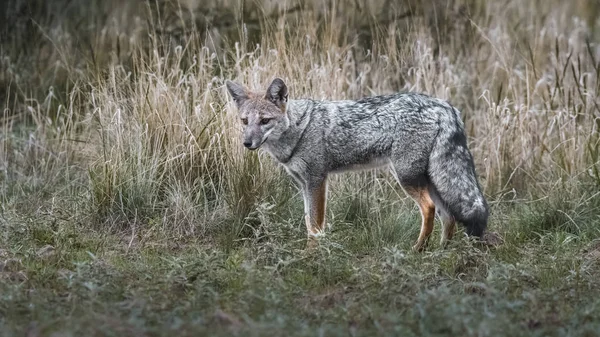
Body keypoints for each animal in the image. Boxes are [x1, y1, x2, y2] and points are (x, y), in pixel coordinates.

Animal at [225, 77, 488, 249]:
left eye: (265, 121)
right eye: (245, 121)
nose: (247, 143)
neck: (299, 129)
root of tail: (445, 106)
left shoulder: (317, 180)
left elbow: (316, 226)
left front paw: (312, 256)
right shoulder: (303, 184)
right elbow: (308, 222)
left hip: (407, 177)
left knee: (430, 209)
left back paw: (418, 250)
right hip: (430, 179)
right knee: (449, 216)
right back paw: (440, 252)